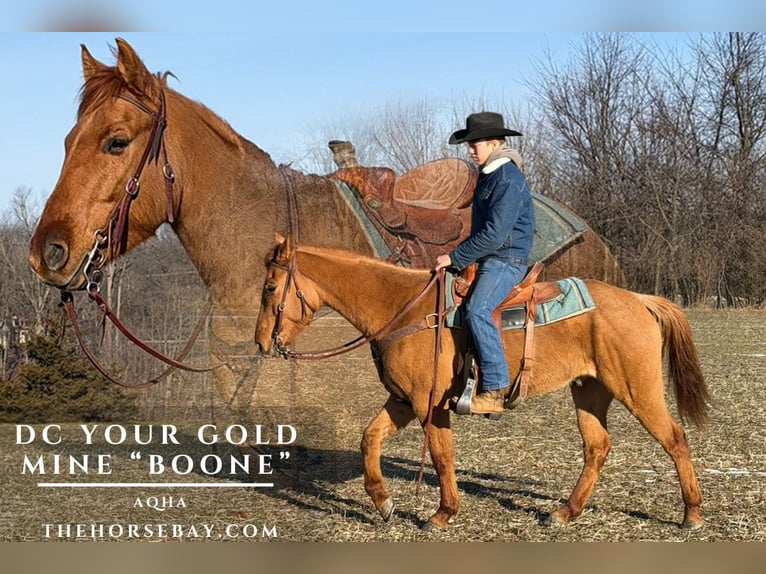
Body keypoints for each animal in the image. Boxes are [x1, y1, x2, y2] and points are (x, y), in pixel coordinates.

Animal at [254, 235, 710, 531]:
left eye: (271, 287)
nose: (261, 342)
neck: (402, 308)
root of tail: (640, 300)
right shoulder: (402, 401)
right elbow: (370, 439)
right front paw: (383, 503)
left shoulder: (428, 405)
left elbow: (441, 457)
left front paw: (442, 514)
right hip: (589, 390)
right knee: (597, 448)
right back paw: (564, 513)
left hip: (638, 389)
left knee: (675, 438)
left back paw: (691, 514)